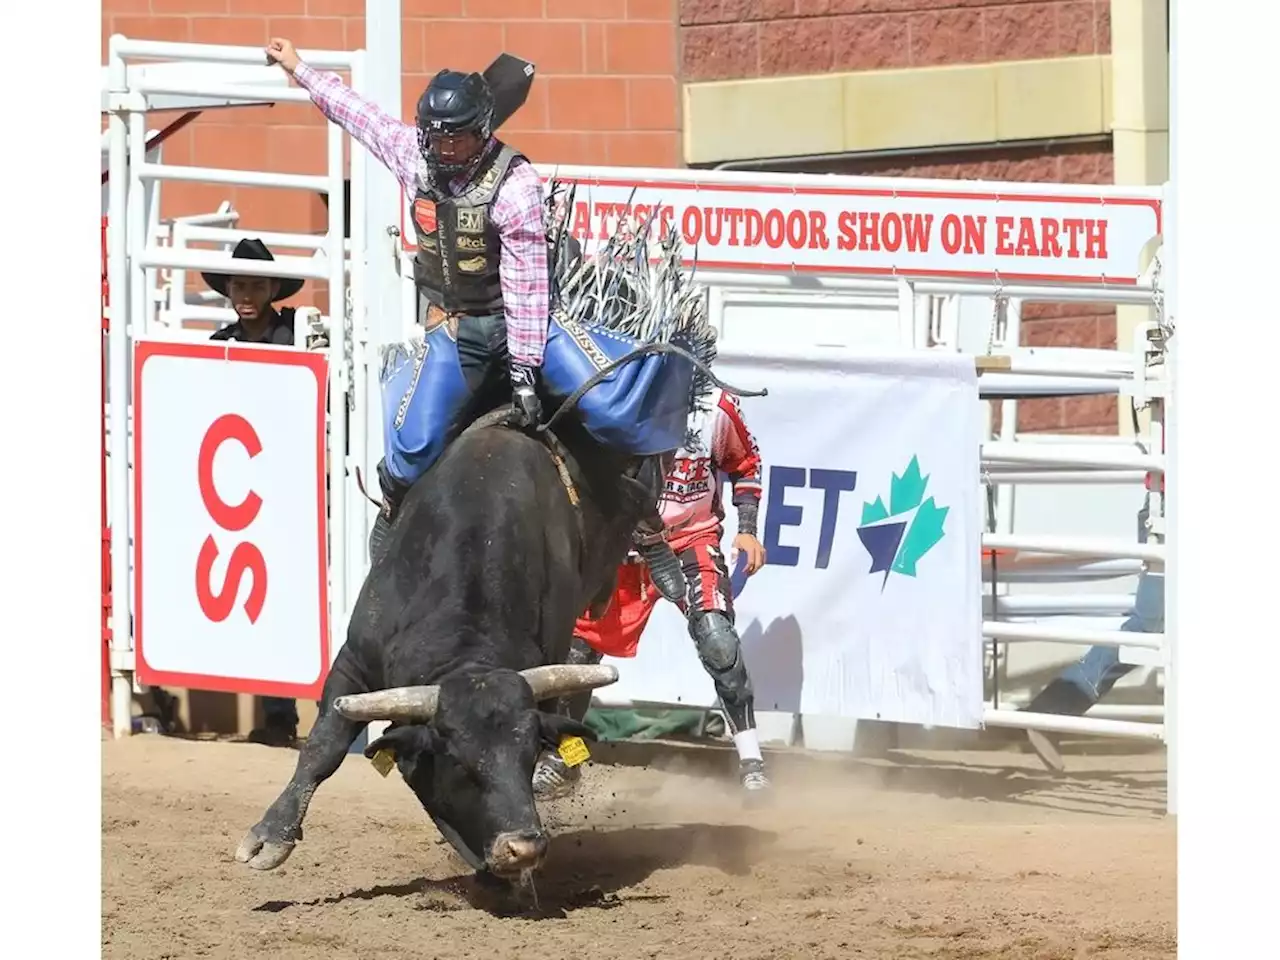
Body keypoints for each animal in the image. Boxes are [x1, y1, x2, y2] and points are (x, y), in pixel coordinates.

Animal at [235, 409, 670, 885]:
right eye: (460, 763)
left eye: (530, 753)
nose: (524, 846)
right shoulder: (355, 661)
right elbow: (323, 746)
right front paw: (270, 836)